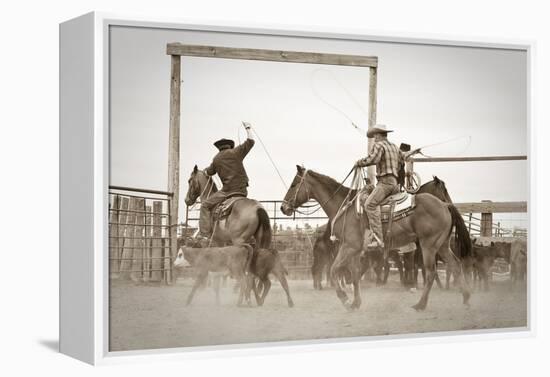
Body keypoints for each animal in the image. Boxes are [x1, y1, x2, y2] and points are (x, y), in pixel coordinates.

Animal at [282, 166, 472, 310]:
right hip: (442, 245)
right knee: (455, 265)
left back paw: (420, 304)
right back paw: (466, 297)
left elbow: (334, 270)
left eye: (293, 184)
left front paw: (344, 298)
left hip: (428, 246)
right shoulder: (354, 249)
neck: (344, 207)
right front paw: (355, 303)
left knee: (431, 272)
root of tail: (445, 206)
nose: (284, 208)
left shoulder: (349, 246)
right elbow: (355, 274)